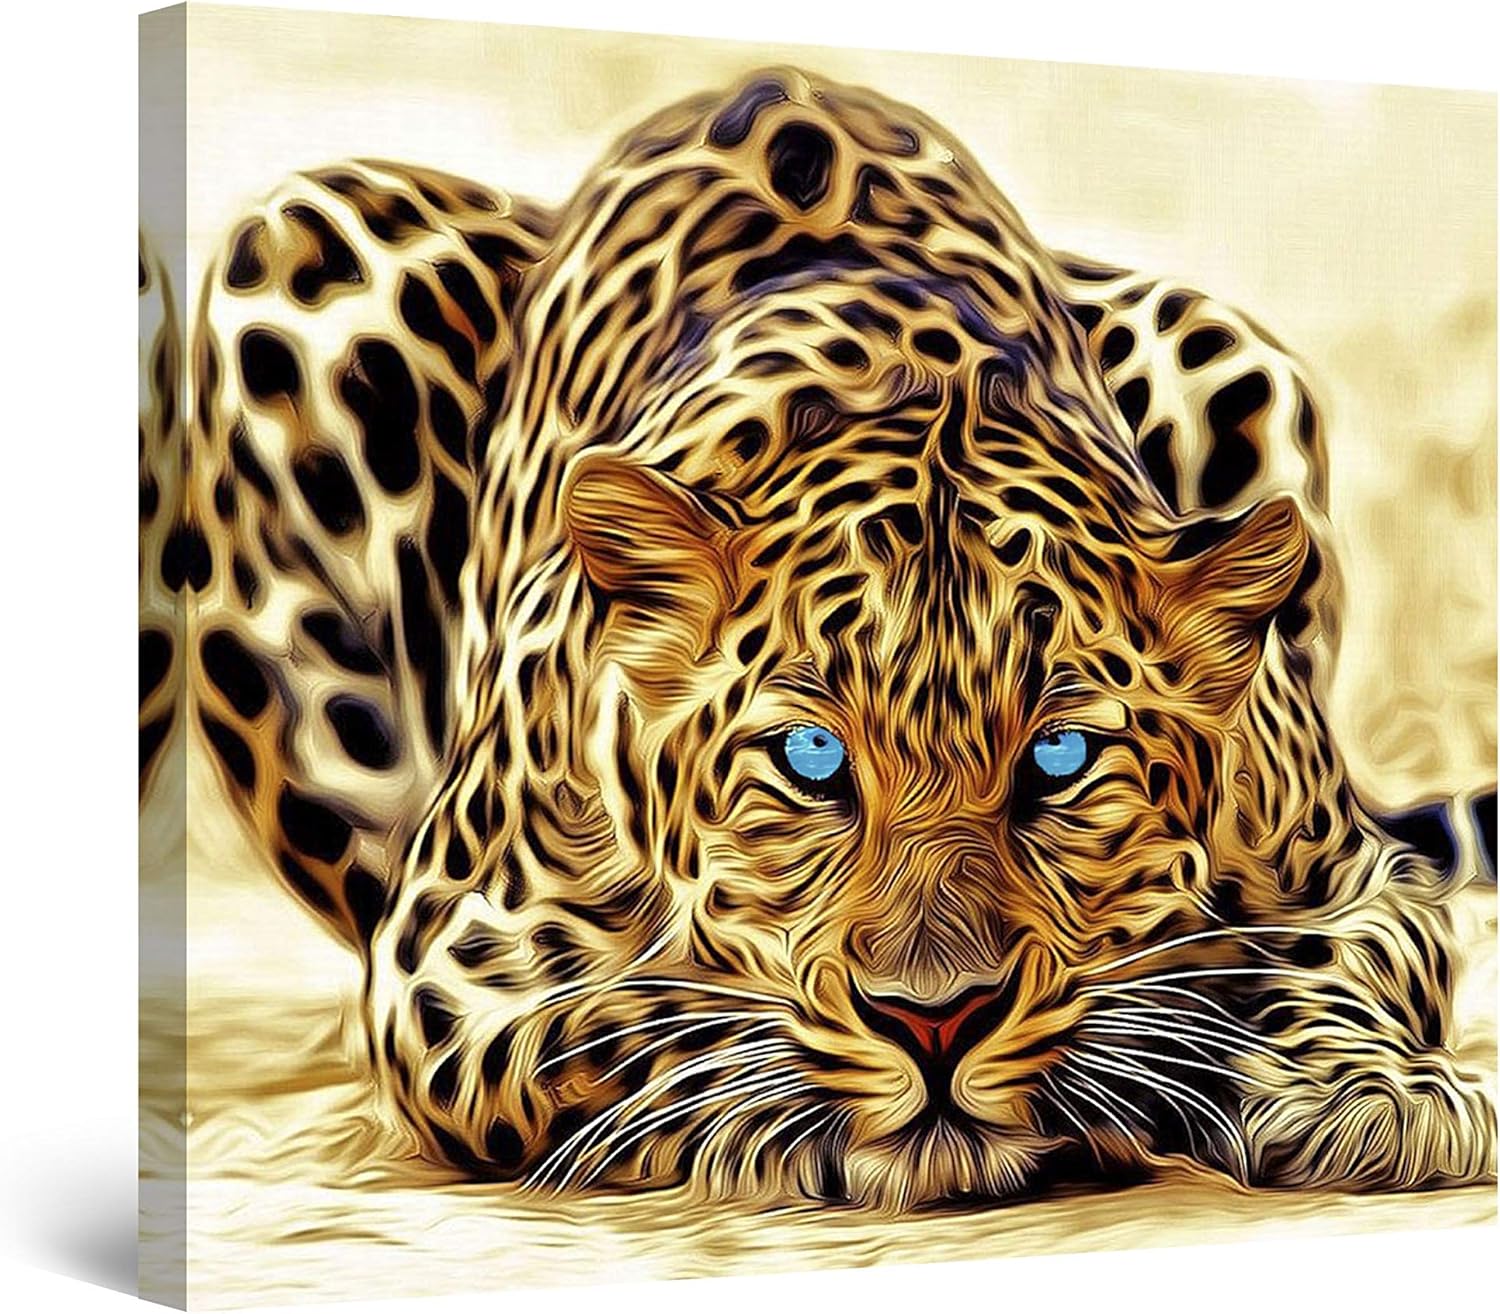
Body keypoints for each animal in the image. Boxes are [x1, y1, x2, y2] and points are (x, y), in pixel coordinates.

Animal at [140, 66, 1496, 1210]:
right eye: (811, 762)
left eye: (1060, 761)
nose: (937, 1020)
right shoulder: (450, 960)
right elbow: (627, 1025)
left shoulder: (1354, 873)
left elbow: (1343, 955)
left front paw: (1374, 1094)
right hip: (295, 250)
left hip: (1224, 341)